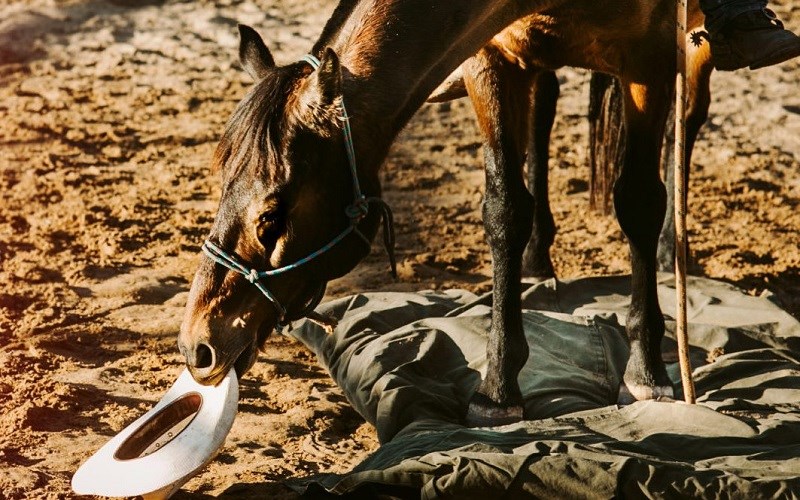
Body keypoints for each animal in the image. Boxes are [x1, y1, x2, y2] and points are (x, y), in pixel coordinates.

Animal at [181, 0, 712, 424]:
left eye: (272, 216)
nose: (197, 345)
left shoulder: (649, 56)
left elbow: (639, 201)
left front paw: (646, 371)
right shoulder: (495, 58)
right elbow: (505, 209)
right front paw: (498, 388)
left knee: (687, 123)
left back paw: (671, 250)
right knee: (546, 108)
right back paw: (539, 258)